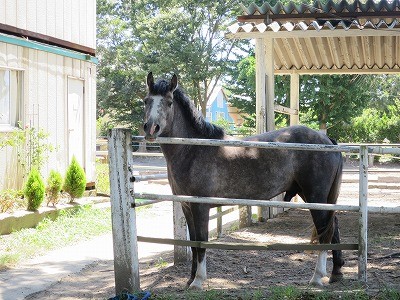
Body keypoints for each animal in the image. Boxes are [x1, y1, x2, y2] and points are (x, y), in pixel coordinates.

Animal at [143, 72, 344, 288]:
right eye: (146, 100)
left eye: (169, 102)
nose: (151, 129)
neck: (194, 149)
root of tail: (327, 141)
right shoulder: (187, 207)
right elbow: (194, 244)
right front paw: (190, 279)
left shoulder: (200, 207)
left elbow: (201, 242)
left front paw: (198, 281)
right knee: (333, 228)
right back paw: (336, 273)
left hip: (315, 196)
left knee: (324, 231)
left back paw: (317, 277)